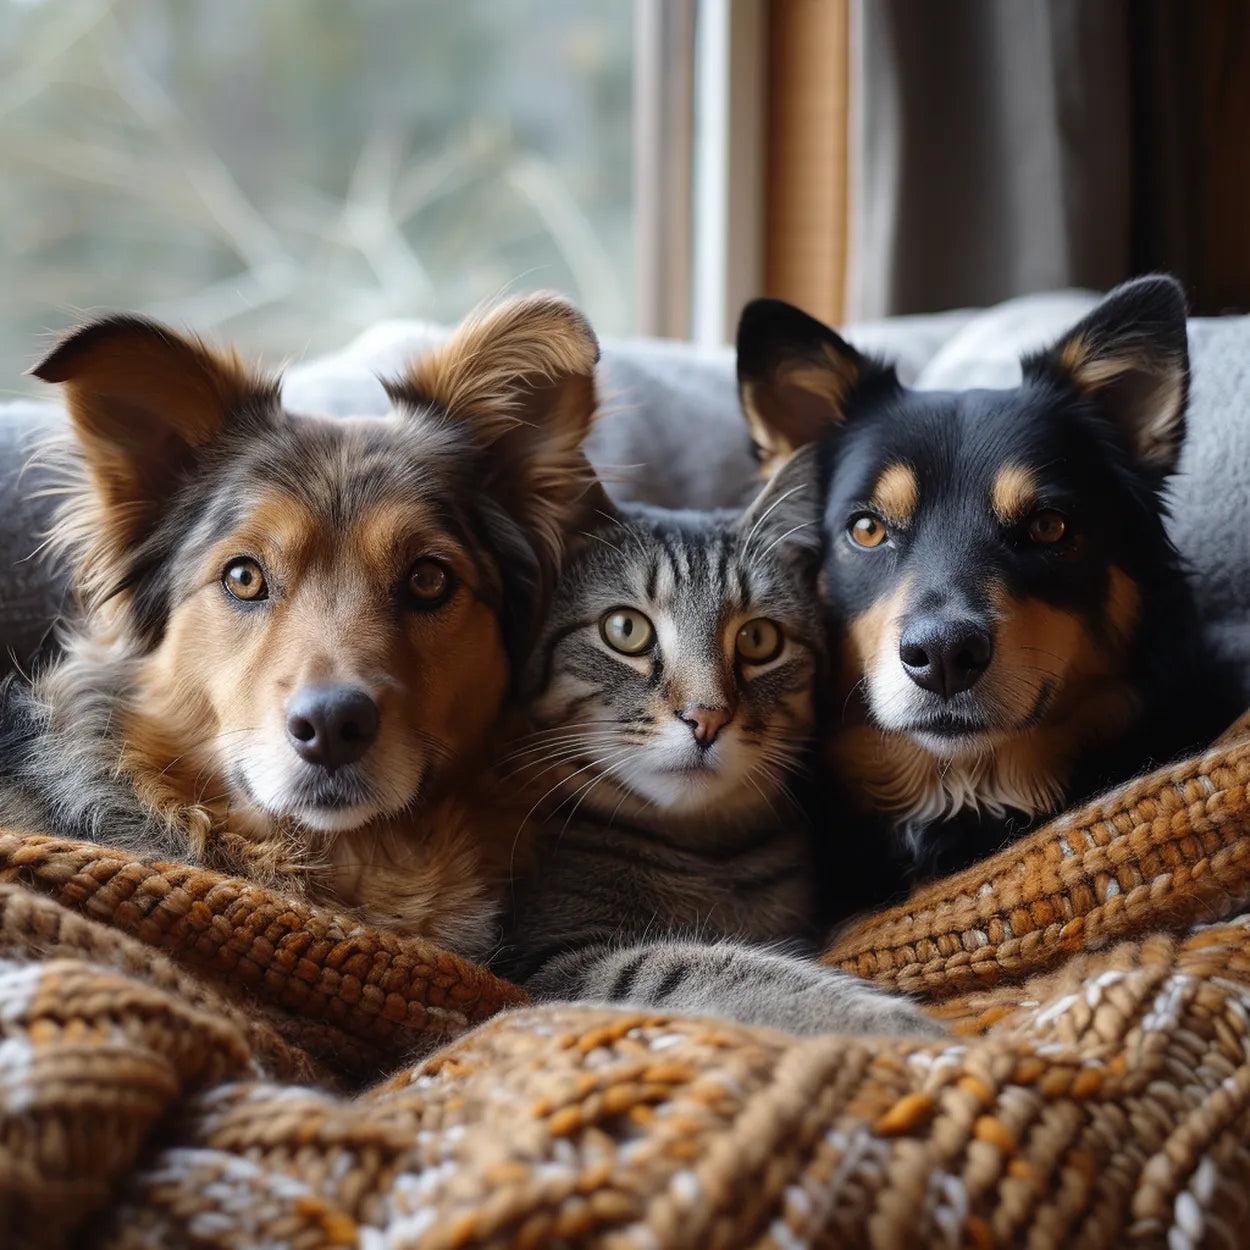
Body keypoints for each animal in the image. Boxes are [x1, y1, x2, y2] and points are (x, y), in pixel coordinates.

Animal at [492, 447, 940, 1035]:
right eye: (625, 630)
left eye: (758, 638)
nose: (706, 717)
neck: (707, 853)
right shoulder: (552, 960)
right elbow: (696, 967)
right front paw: (876, 1018)